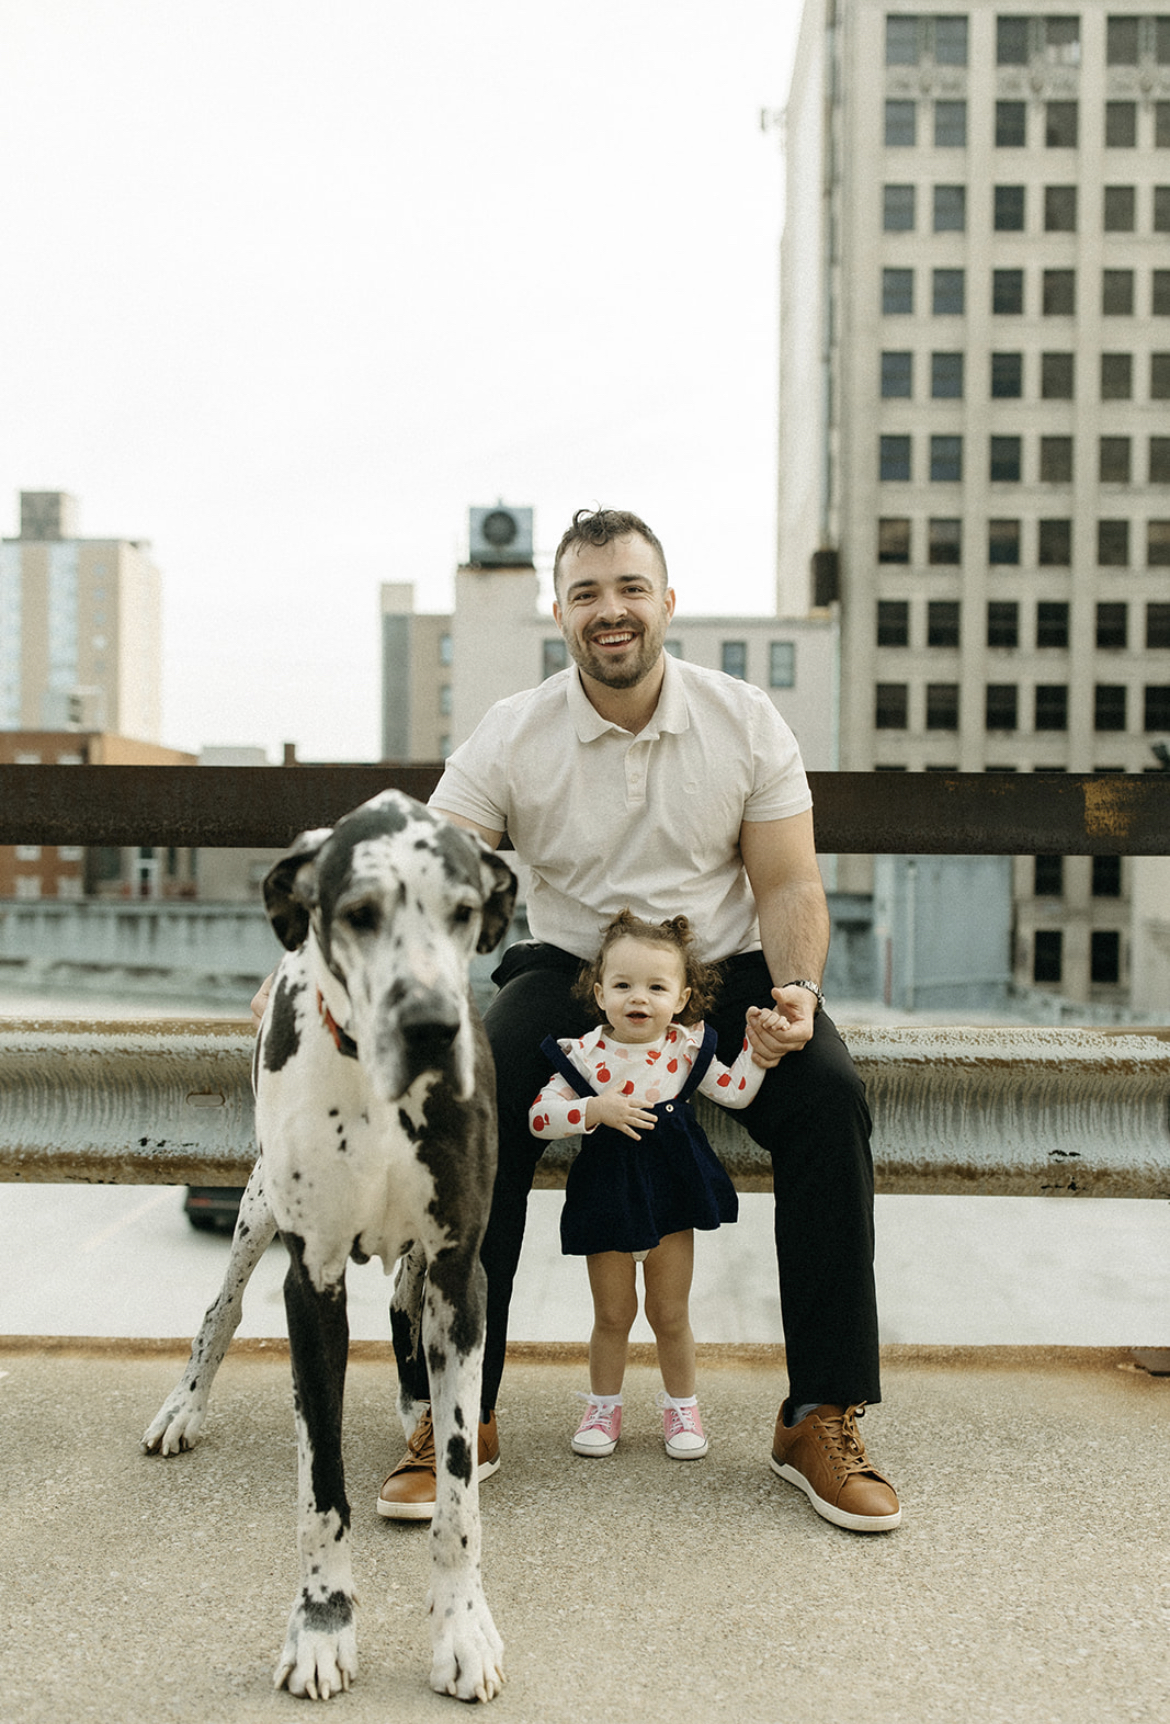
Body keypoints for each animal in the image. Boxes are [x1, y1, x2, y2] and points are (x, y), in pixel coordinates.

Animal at [140, 793, 513, 1710]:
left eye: (463, 911)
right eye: (359, 913)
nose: (430, 1028)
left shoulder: (461, 1272)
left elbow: (459, 1495)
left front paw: (462, 1630)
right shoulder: (310, 1284)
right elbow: (322, 1485)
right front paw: (322, 1628)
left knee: (405, 1312)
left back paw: (415, 1404)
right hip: (257, 1210)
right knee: (222, 1307)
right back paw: (183, 1406)